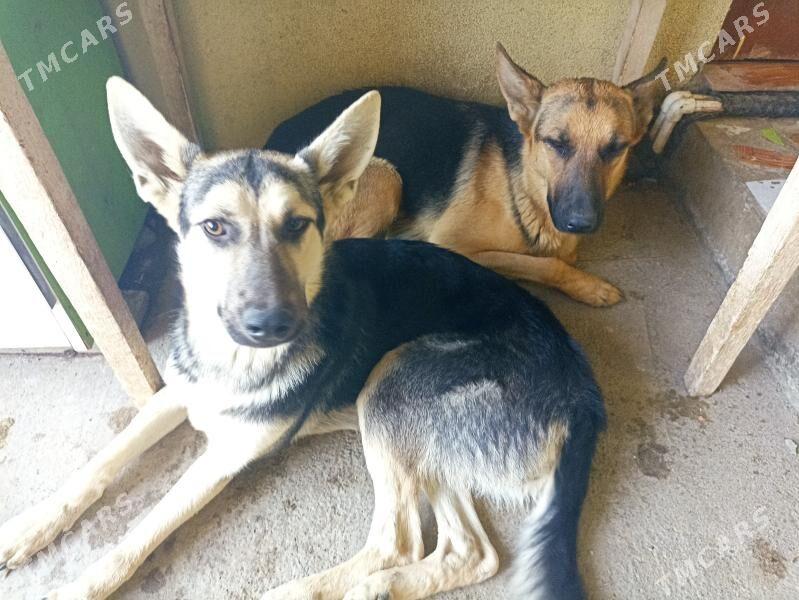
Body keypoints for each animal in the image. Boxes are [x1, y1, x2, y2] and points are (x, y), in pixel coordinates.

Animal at [0, 79, 605, 600]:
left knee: (399, 541)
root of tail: (583, 388)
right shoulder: (176, 393)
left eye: (297, 225)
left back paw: (302, 591)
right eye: (214, 227)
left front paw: (81, 586)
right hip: (424, 440)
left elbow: (142, 531)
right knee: (472, 551)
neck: (231, 360)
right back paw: (385, 587)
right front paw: (28, 528)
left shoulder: (223, 457)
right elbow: (97, 466)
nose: (273, 325)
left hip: (390, 385)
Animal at [267, 43, 666, 307]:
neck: (523, 188)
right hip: (386, 177)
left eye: (615, 148)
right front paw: (588, 286)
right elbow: (546, 263)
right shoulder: (454, 245)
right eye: (557, 143)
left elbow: (558, 256)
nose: (580, 223)